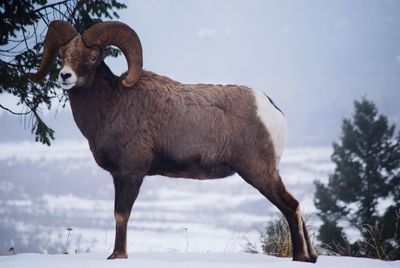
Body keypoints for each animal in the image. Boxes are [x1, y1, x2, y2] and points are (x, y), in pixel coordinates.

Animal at [27, 20, 316, 262]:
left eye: (92, 56)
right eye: (62, 55)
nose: (65, 76)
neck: (111, 105)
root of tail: (269, 107)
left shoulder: (130, 174)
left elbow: (121, 214)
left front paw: (117, 256)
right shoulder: (120, 176)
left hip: (259, 173)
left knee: (290, 206)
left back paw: (301, 258)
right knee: (296, 205)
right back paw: (311, 257)